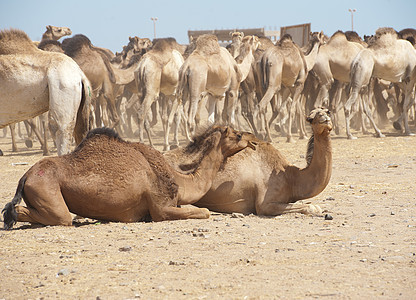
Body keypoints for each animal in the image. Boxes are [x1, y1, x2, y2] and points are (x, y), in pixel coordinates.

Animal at [2, 125, 256, 230]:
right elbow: (203, 212)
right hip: (46, 190)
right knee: (27, 212)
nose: (253, 138)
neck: (180, 180)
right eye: (237, 134)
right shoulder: (161, 208)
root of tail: (25, 176)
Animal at [166, 108, 332, 216]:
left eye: (327, 111)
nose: (325, 117)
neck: (292, 177)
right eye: (311, 118)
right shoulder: (265, 204)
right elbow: (312, 207)